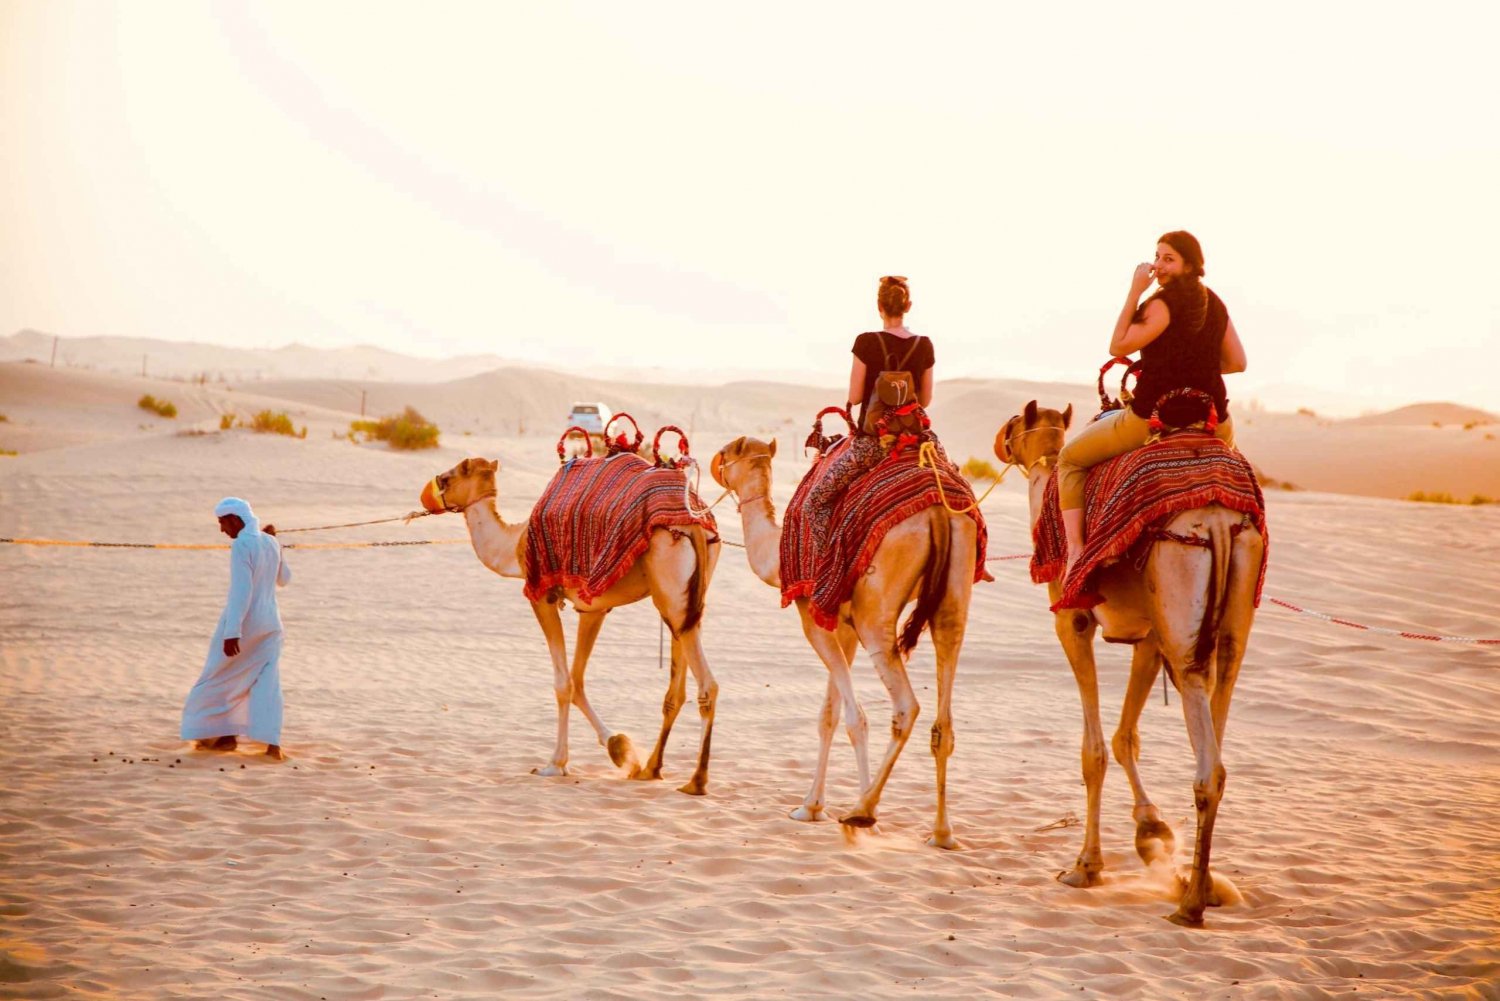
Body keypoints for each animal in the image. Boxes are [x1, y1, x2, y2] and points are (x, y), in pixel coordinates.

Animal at [417, 459, 720, 792]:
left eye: (450, 477)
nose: (426, 495)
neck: (516, 544)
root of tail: (693, 524)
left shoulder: (542, 596)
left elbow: (563, 683)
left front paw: (555, 764)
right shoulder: (594, 608)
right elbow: (577, 681)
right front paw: (619, 748)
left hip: (671, 590)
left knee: (707, 684)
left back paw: (697, 780)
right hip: (687, 600)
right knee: (677, 688)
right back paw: (651, 768)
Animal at [708, 435, 978, 846]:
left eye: (727, 452)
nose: (710, 462)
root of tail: (938, 515)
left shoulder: (814, 618)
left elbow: (854, 717)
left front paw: (853, 815)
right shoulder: (844, 628)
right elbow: (829, 715)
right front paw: (810, 807)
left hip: (876, 614)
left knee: (905, 706)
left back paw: (861, 811)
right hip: (955, 592)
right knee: (943, 714)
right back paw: (942, 833)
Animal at [996, 402, 1266, 930]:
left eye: (1016, 423)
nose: (1000, 439)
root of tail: (1217, 519)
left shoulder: (1074, 623)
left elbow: (1095, 751)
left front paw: (1086, 866)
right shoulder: (1149, 636)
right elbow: (1126, 738)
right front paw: (1151, 831)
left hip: (1180, 595)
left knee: (1208, 768)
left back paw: (1190, 905)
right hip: (1228, 626)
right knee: (1219, 731)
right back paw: (1202, 886)